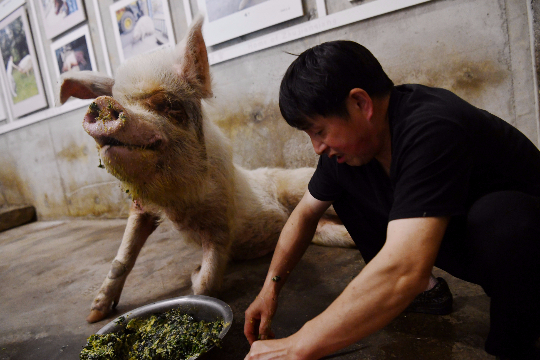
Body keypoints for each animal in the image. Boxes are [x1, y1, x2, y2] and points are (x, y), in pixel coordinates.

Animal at [59, 16, 354, 324]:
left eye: (169, 105)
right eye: (118, 98)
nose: (104, 103)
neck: (176, 204)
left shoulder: (221, 216)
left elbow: (207, 284)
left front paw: (194, 272)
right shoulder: (140, 207)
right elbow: (122, 257)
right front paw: (94, 315)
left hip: (299, 187)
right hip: (318, 230)